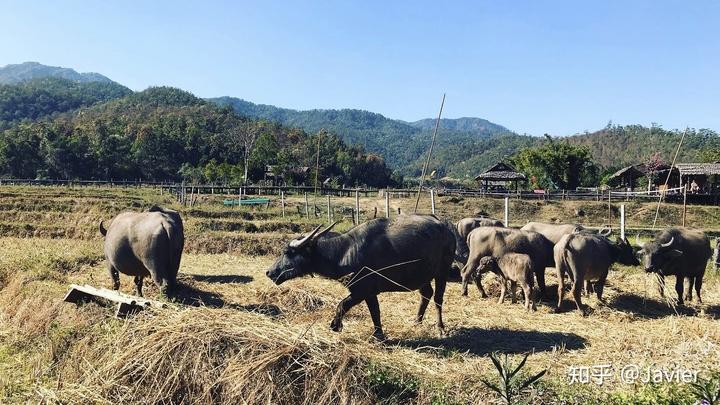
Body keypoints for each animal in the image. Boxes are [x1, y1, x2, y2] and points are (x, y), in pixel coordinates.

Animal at [264, 215, 456, 338]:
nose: (269, 272)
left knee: (438, 299)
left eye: (288, 252)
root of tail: (446, 227)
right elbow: (375, 312)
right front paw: (378, 334)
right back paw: (416, 321)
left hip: (442, 272)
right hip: (423, 275)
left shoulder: (361, 290)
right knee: (426, 294)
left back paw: (440, 328)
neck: (346, 252)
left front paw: (335, 325)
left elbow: (342, 305)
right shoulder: (369, 293)